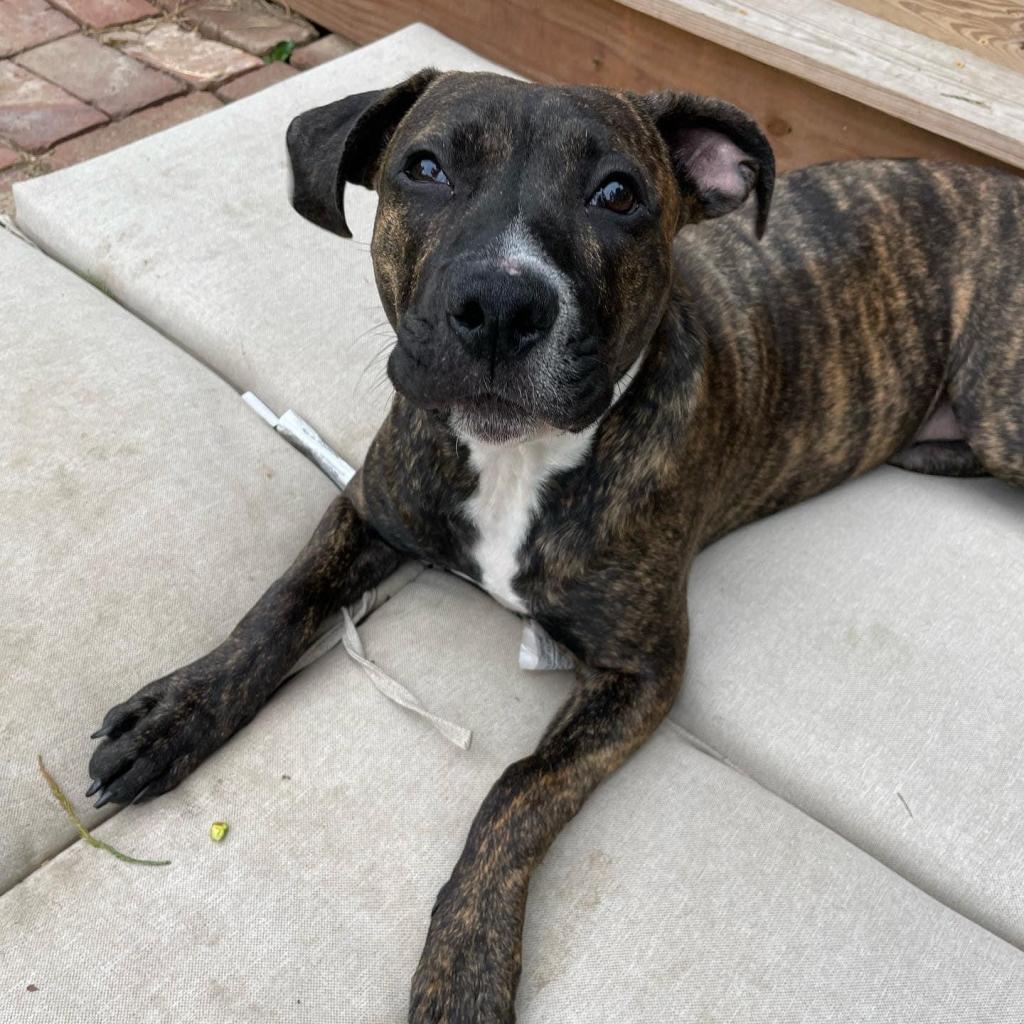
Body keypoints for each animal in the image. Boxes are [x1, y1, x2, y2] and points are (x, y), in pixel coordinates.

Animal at [88, 68, 1024, 1019]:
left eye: (618, 194)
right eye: (423, 167)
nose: (503, 304)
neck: (515, 460)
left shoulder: (640, 675)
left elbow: (521, 784)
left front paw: (465, 958)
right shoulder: (372, 509)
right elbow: (282, 603)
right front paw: (180, 712)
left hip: (1000, 407)